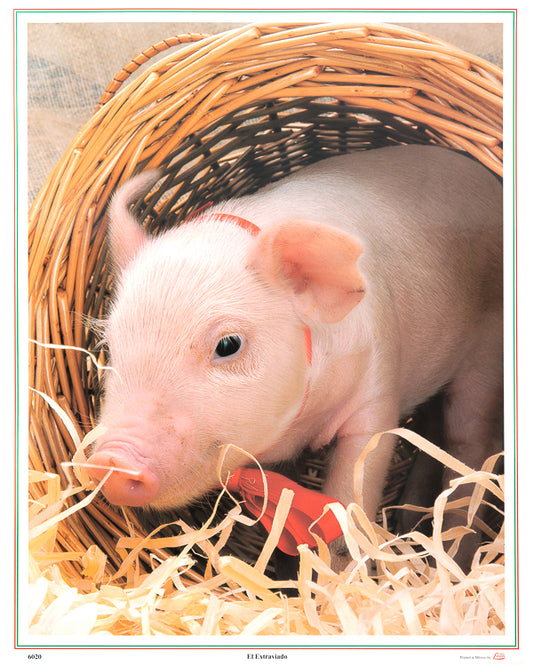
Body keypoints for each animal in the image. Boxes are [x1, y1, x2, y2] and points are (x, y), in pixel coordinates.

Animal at [87, 145, 503, 567]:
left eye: (228, 344)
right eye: (111, 346)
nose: (111, 461)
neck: (304, 425)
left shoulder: (376, 391)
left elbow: (353, 495)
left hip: (486, 354)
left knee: (467, 444)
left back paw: (456, 556)